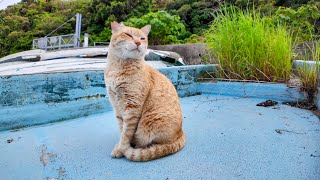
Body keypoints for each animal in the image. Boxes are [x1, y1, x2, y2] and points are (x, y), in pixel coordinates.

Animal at [105, 21, 185, 161]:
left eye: (142, 38)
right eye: (128, 35)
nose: (138, 42)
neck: (118, 68)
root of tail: (181, 133)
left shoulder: (132, 108)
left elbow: (126, 134)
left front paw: (122, 149)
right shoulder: (117, 106)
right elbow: (121, 129)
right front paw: (120, 145)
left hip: (149, 124)